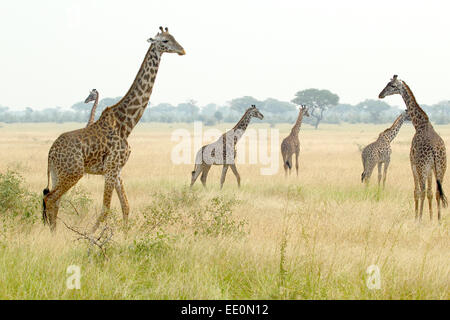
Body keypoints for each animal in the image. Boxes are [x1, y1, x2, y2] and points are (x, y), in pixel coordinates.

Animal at [40, 26, 185, 230]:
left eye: (174, 37)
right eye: (165, 41)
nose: (182, 50)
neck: (127, 124)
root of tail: (51, 153)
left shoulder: (117, 170)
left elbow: (126, 206)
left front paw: (126, 235)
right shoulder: (110, 169)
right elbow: (106, 209)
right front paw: (91, 235)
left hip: (57, 173)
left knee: (53, 200)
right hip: (73, 172)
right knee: (51, 199)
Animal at [380, 75, 446, 221]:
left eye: (392, 85)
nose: (380, 94)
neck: (420, 124)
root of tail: (435, 151)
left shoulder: (413, 163)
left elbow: (417, 191)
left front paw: (417, 218)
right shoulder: (430, 168)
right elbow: (430, 192)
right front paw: (431, 218)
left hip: (423, 167)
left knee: (422, 190)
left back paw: (420, 219)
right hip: (441, 167)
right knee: (438, 191)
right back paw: (439, 220)